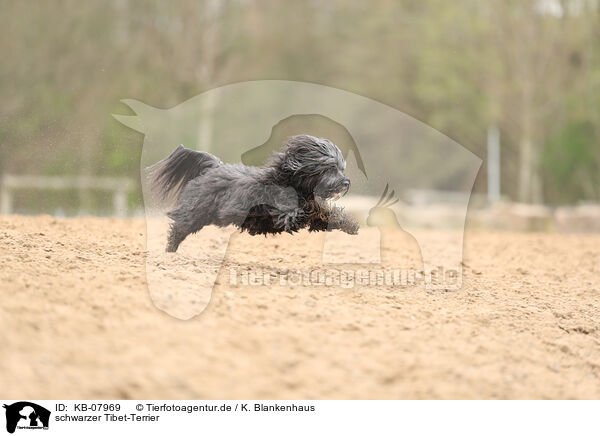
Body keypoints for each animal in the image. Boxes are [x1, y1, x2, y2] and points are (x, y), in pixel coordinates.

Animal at [148, 135, 358, 252]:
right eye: (330, 168)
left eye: (341, 168)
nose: (346, 182)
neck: (289, 181)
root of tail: (213, 167)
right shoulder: (283, 214)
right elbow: (300, 213)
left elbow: (326, 214)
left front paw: (351, 225)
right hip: (195, 212)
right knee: (179, 228)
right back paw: (169, 251)